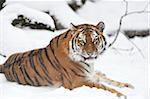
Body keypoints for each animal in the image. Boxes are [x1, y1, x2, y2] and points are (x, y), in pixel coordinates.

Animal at [0, 22, 134, 98]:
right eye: (82, 41)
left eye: (95, 40)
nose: (90, 53)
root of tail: (4, 63)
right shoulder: (79, 81)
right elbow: (105, 87)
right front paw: (123, 95)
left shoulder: (90, 76)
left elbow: (110, 81)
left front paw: (128, 87)